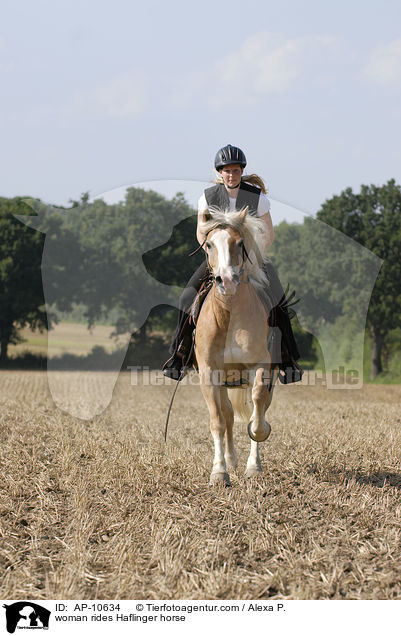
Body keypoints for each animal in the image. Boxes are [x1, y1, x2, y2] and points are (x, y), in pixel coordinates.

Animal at [195, 206, 278, 484]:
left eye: (240, 243)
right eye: (209, 244)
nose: (227, 280)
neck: (229, 315)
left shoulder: (260, 365)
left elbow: (257, 410)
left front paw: (254, 463)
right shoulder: (209, 373)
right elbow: (218, 421)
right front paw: (219, 472)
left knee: (258, 407)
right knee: (228, 413)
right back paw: (230, 460)